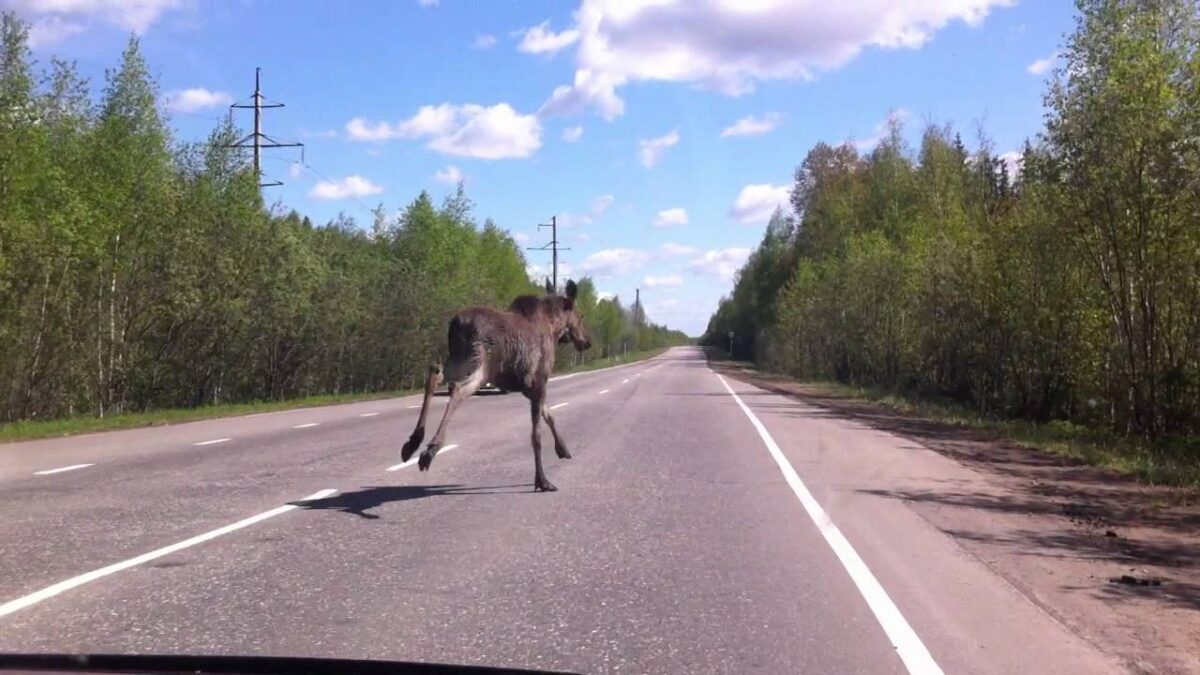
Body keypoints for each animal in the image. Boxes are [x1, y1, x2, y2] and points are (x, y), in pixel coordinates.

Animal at [403, 277, 590, 487]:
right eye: (580, 316)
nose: (586, 341)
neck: (553, 328)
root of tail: (456, 324)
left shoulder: (529, 388)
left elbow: (549, 416)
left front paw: (563, 449)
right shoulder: (539, 381)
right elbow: (536, 435)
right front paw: (541, 480)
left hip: (457, 360)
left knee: (434, 375)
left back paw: (413, 442)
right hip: (480, 365)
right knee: (457, 390)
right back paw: (432, 448)